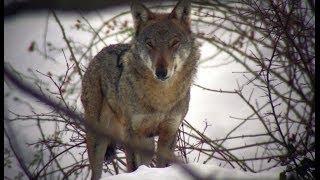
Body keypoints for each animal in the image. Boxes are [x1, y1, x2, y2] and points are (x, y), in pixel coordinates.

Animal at [80, 0, 200, 179]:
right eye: (150, 43)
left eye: (174, 43)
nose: (161, 72)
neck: (161, 97)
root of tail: (99, 53)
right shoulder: (132, 133)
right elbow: (134, 167)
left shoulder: (169, 132)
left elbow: (162, 166)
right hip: (99, 138)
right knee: (96, 173)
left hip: (148, 144)